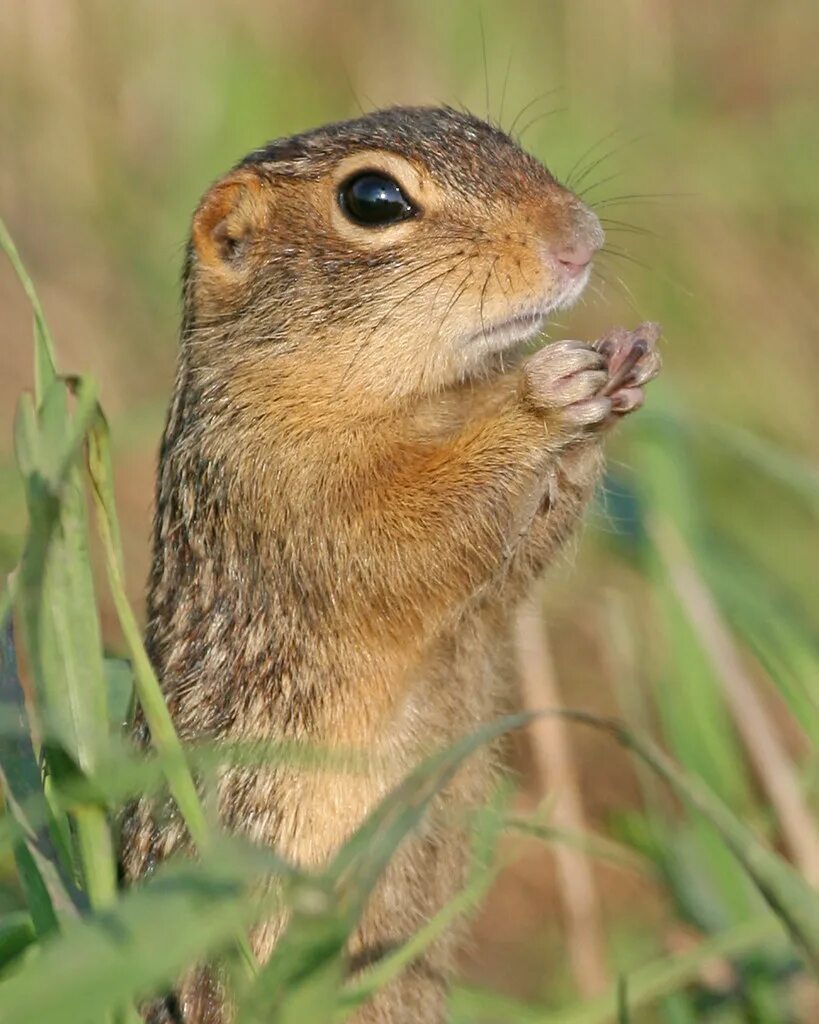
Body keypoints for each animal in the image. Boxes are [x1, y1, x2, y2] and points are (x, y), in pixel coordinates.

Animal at [119, 108, 659, 1019]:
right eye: (372, 200)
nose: (579, 238)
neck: (420, 401)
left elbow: (504, 573)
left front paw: (614, 384)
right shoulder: (281, 484)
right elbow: (400, 539)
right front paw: (540, 398)